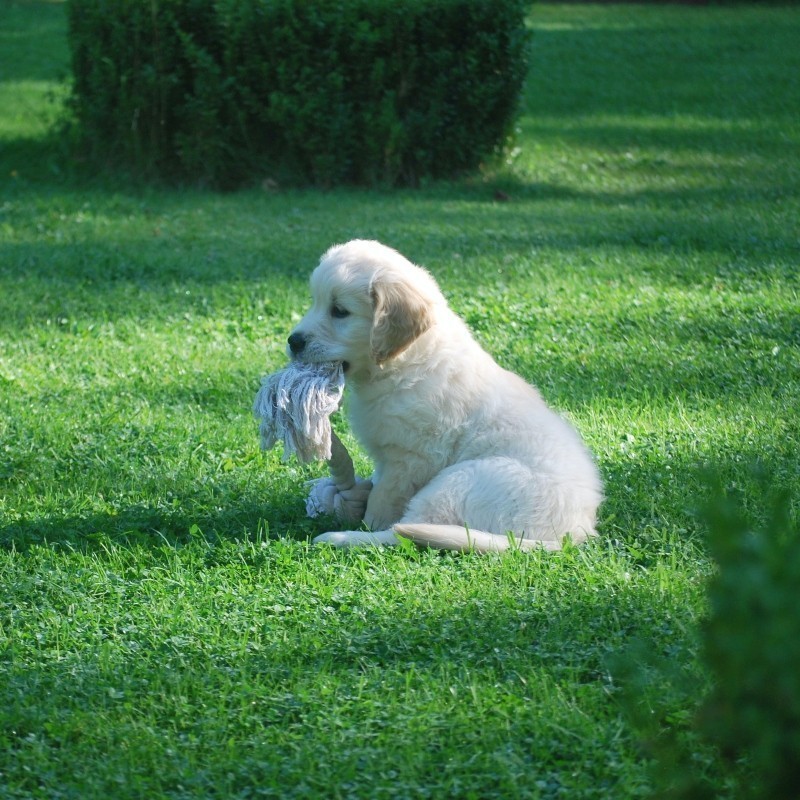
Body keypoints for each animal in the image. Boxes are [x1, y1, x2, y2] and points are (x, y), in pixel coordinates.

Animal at [288, 239, 600, 552]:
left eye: (340, 311)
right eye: (315, 301)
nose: (293, 341)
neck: (404, 363)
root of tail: (573, 533)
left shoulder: (409, 458)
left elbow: (382, 502)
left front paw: (366, 517)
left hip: (458, 482)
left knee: (402, 532)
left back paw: (339, 537)